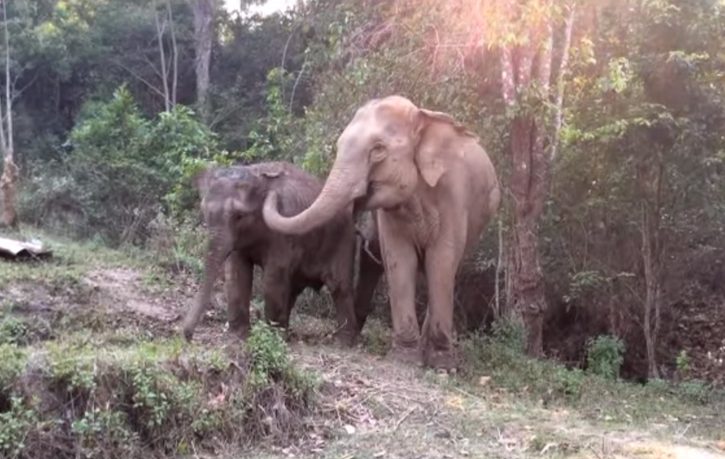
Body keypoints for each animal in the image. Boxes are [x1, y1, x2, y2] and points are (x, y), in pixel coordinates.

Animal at [181, 161, 381, 346]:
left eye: (239, 216)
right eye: (204, 211)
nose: (187, 336)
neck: (257, 175)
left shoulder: (285, 229)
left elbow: (273, 276)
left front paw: (270, 338)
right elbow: (238, 272)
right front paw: (238, 336)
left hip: (343, 241)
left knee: (339, 286)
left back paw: (344, 343)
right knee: (294, 288)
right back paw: (287, 331)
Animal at [262, 96, 501, 370]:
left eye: (377, 150)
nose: (272, 182)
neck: (421, 120)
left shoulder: (455, 196)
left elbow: (441, 261)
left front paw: (442, 364)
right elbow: (399, 258)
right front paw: (404, 358)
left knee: (448, 269)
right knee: (373, 259)